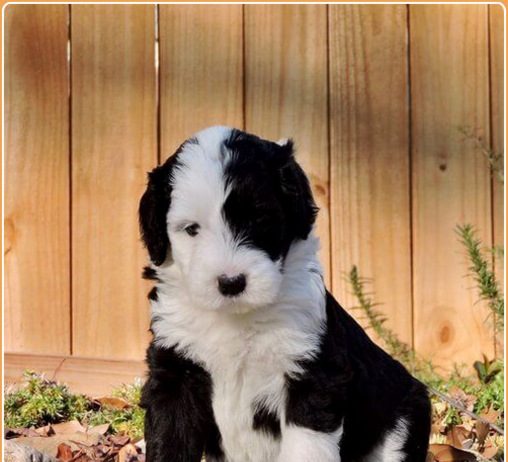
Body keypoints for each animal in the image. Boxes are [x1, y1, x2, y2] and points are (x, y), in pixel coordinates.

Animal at [138, 126, 428, 462]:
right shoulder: (174, 373)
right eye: (192, 229)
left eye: (258, 220)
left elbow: (306, 447)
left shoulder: (311, 374)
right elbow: (169, 440)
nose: (231, 282)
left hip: (404, 415)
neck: (238, 319)